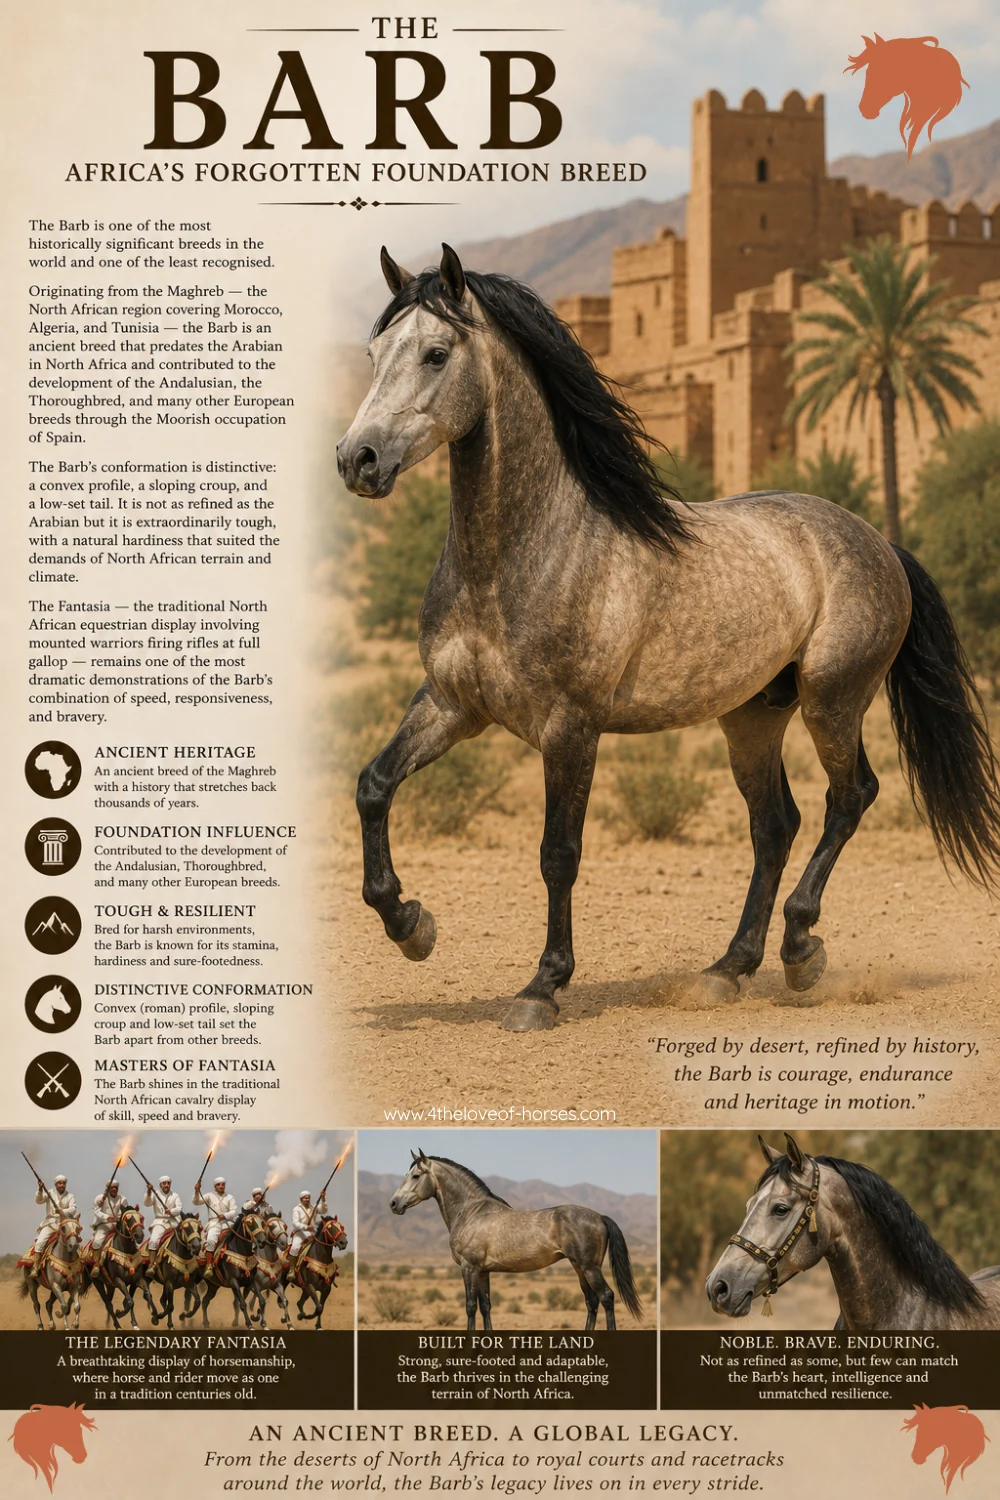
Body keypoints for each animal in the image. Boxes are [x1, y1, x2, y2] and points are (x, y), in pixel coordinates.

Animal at [337, 246, 1000, 1031]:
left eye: (436, 353)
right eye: (374, 352)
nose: (357, 460)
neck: (521, 554)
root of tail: (878, 541)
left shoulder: (571, 728)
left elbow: (559, 852)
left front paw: (541, 988)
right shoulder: (450, 705)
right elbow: (373, 787)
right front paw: (412, 926)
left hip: (832, 700)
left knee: (850, 798)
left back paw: (800, 948)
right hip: (752, 717)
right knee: (775, 824)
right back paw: (728, 968)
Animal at [390, 1150, 642, 1330]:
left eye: (416, 1176)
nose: (394, 1203)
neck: (472, 1212)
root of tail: (600, 1216)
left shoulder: (469, 1267)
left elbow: (470, 1307)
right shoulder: (483, 1271)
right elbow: (486, 1306)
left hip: (589, 1268)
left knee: (606, 1297)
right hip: (580, 1267)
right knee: (592, 1301)